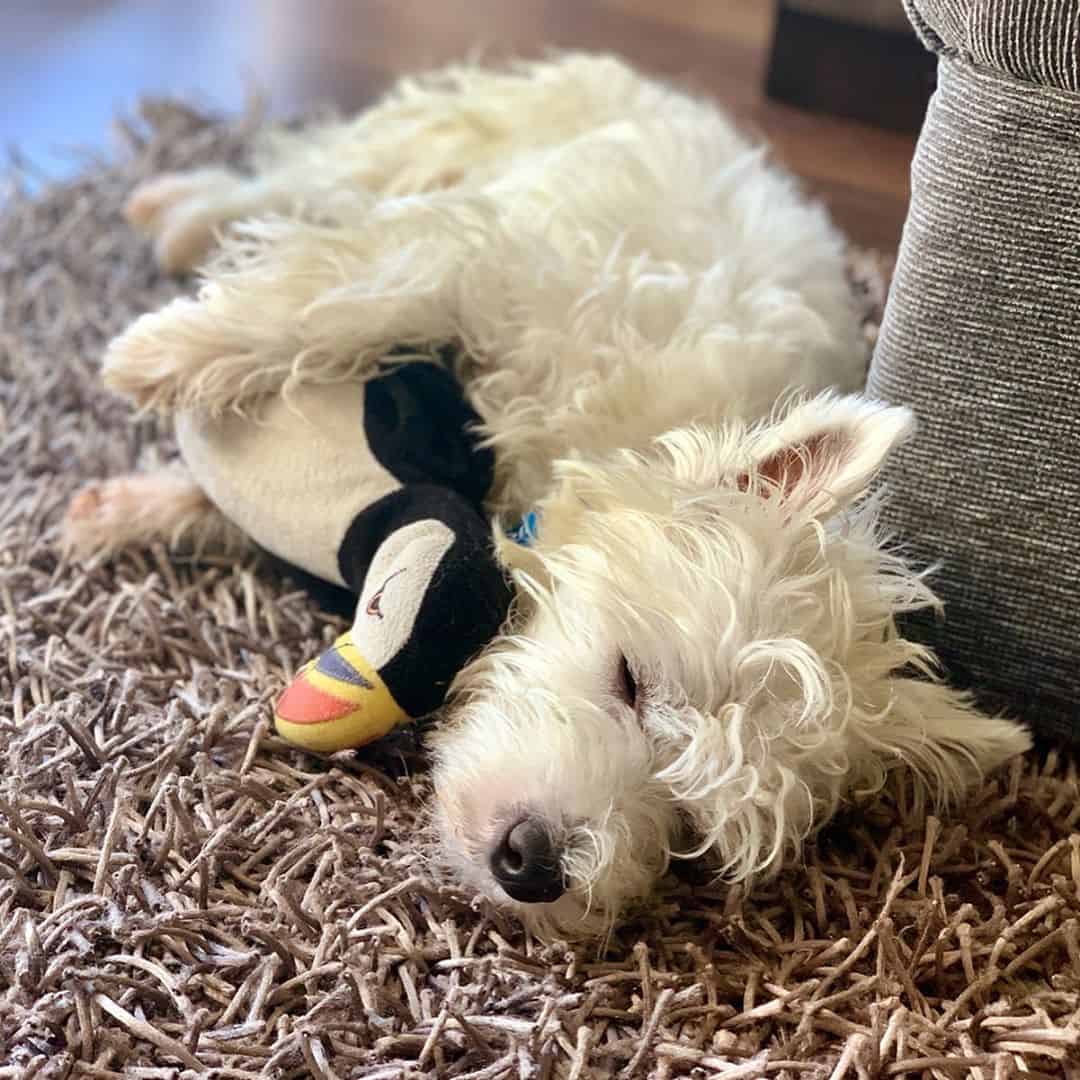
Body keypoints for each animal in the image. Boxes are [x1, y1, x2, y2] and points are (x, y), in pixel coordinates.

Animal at [65, 54, 1028, 941]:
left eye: (693, 829)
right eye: (632, 678)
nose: (530, 864)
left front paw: (130, 508)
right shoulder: (496, 262)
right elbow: (346, 295)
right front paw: (162, 354)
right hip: (448, 134)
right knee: (308, 174)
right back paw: (180, 211)